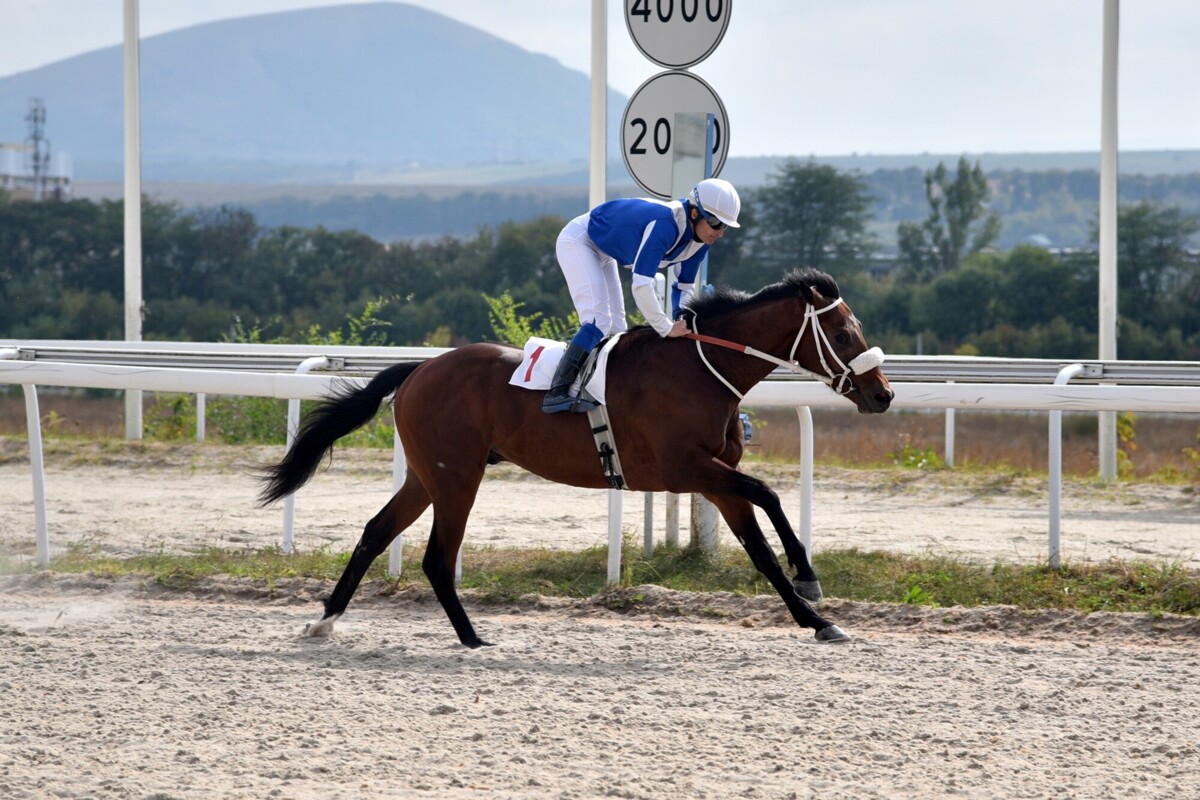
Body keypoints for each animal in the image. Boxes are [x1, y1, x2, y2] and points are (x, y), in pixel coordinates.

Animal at [265, 271, 902, 652]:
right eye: (844, 332)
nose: (883, 394)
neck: (699, 369)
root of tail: (419, 369)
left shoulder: (716, 482)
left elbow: (761, 553)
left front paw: (817, 620)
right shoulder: (687, 469)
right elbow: (768, 494)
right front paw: (810, 577)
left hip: (428, 475)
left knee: (376, 532)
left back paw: (326, 619)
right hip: (456, 477)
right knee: (436, 557)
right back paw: (472, 638)